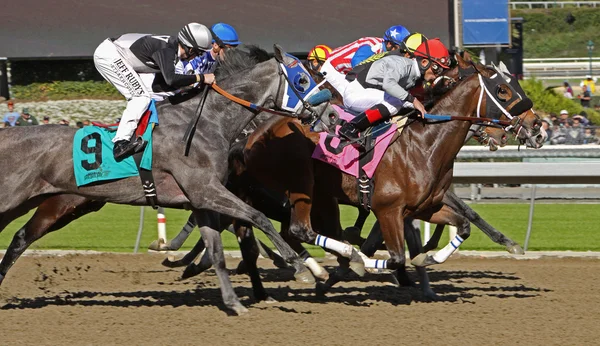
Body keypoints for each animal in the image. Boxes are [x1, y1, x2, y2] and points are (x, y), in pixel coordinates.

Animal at [0, 44, 338, 314]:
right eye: (303, 80)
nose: (334, 116)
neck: (208, 121)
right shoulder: (206, 190)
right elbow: (259, 218)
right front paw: (303, 267)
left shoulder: (203, 201)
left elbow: (217, 251)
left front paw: (234, 302)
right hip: (21, 200)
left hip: (55, 204)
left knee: (20, 237)